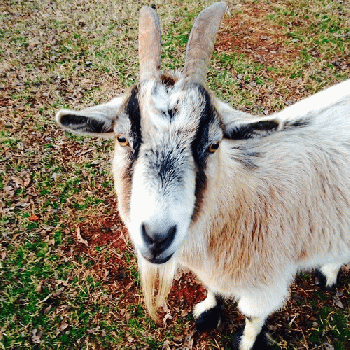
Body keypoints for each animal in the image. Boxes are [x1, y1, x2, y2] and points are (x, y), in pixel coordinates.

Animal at [55, 2, 350, 350]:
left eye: (213, 144)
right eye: (122, 138)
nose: (157, 237)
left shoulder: (267, 284)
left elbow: (253, 317)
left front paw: (246, 342)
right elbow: (212, 289)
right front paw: (208, 310)